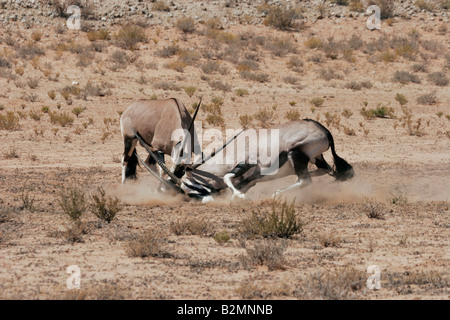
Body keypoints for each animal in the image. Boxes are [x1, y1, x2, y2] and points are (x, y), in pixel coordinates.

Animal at [178, 119, 354, 201]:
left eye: (189, 184)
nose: (205, 200)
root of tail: (325, 131)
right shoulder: (252, 178)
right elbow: (239, 184)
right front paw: (235, 197)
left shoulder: (247, 163)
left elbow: (228, 177)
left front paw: (240, 197)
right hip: (316, 158)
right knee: (326, 169)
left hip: (295, 154)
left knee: (305, 180)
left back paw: (275, 195)